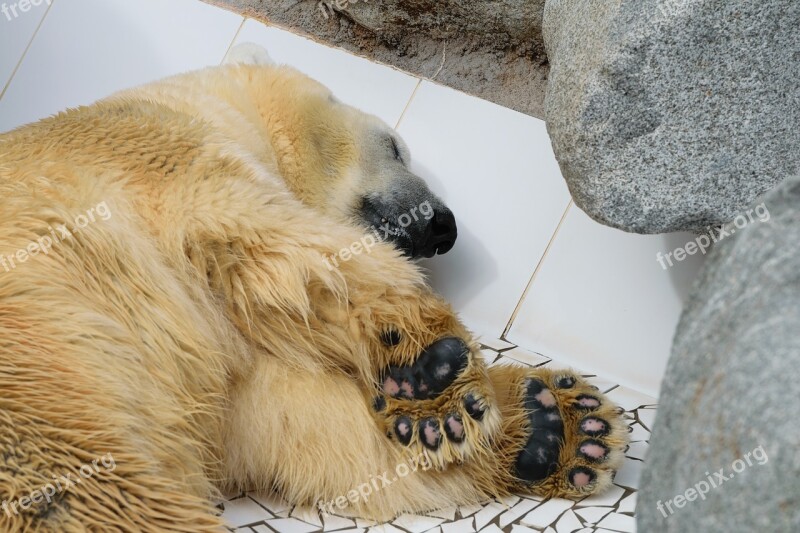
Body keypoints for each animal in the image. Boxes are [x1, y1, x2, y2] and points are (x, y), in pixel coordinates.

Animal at [0, 43, 624, 528]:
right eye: (394, 146)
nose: (444, 225)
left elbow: (293, 418)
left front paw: (550, 424)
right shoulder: (164, 158)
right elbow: (294, 247)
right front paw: (431, 371)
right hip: (44, 378)